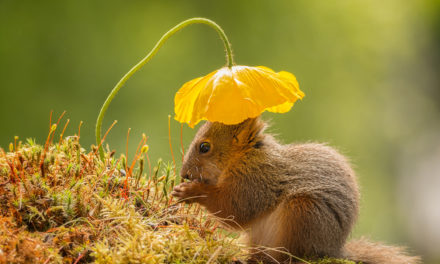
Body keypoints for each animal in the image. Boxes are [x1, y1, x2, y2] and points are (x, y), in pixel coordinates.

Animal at [171, 117, 420, 264]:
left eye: (205, 147)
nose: (184, 173)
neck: (244, 157)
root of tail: (333, 249)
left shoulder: (257, 181)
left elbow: (235, 209)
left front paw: (190, 191)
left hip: (303, 213)